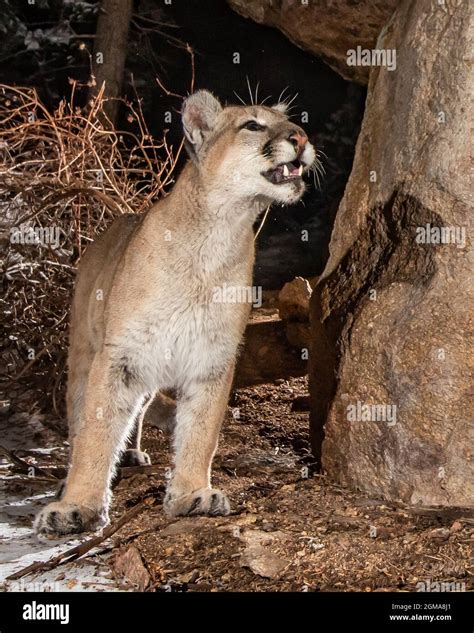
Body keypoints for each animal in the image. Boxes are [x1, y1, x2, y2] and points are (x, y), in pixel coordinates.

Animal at [33, 89, 314, 532]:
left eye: (291, 123)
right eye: (253, 125)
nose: (301, 138)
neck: (218, 233)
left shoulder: (211, 357)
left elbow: (201, 431)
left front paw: (191, 494)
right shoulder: (120, 356)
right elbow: (96, 429)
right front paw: (77, 504)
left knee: (140, 409)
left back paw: (131, 453)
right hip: (84, 352)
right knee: (80, 414)